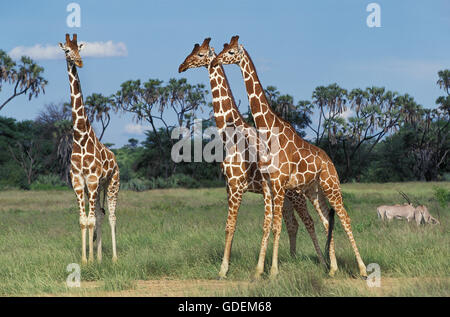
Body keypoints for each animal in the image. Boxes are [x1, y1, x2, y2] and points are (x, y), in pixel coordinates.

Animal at [59, 33, 120, 262]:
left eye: (80, 49)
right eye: (67, 50)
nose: (79, 62)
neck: (80, 136)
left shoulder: (92, 180)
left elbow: (91, 219)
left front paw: (91, 260)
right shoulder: (79, 182)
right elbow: (83, 220)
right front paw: (86, 260)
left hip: (112, 184)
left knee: (111, 216)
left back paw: (114, 258)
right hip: (98, 188)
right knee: (101, 215)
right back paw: (101, 257)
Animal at [179, 38, 326, 278]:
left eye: (200, 54)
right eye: (192, 50)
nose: (181, 67)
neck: (229, 135)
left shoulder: (237, 185)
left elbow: (231, 226)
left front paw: (224, 269)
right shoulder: (229, 186)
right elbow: (233, 226)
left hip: (295, 194)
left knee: (308, 221)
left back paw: (322, 262)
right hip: (285, 195)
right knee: (292, 223)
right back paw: (292, 258)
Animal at [213, 35, 368, 278]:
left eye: (230, 52)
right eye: (222, 48)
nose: (215, 61)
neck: (268, 129)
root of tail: (330, 161)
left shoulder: (278, 185)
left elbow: (277, 226)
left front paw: (273, 271)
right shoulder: (270, 185)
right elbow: (272, 225)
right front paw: (261, 270)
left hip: (331, 185)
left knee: (344, 218)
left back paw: (362, 269)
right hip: (313, 190)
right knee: (327, 220)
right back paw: (332, 269)